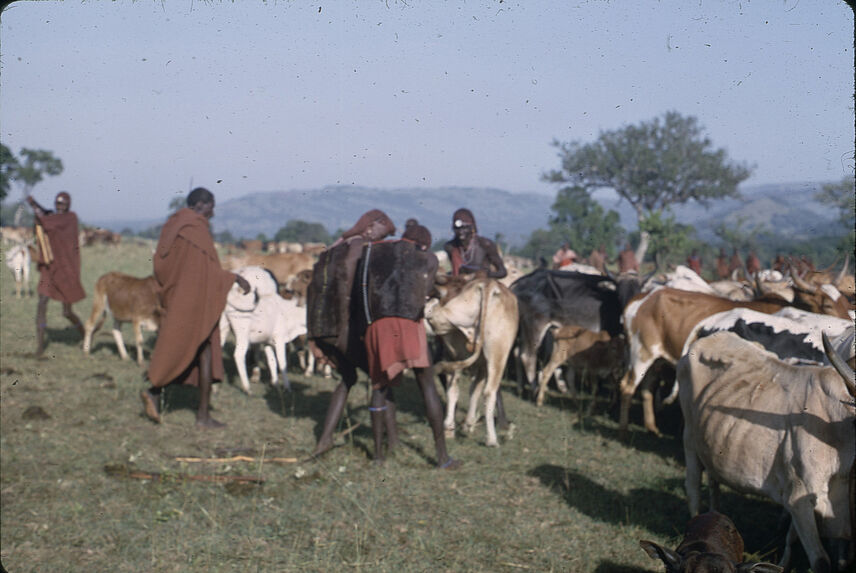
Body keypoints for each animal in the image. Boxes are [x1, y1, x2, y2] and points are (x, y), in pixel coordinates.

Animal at [424, 274, 520, 444]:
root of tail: (489, 285)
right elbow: (474, 390)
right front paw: (467, 424)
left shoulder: (469, 360)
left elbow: (470, 390)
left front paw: (464, 424)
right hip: (496, 353)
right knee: (488, 391)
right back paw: (491, 439)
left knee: (460, 387)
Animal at [680, 330, 852, 572]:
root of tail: (715, 336)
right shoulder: (801, 498)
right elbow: (820, 560)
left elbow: (795, 540)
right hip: (689, 439)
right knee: (693, 488)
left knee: (713, 485)